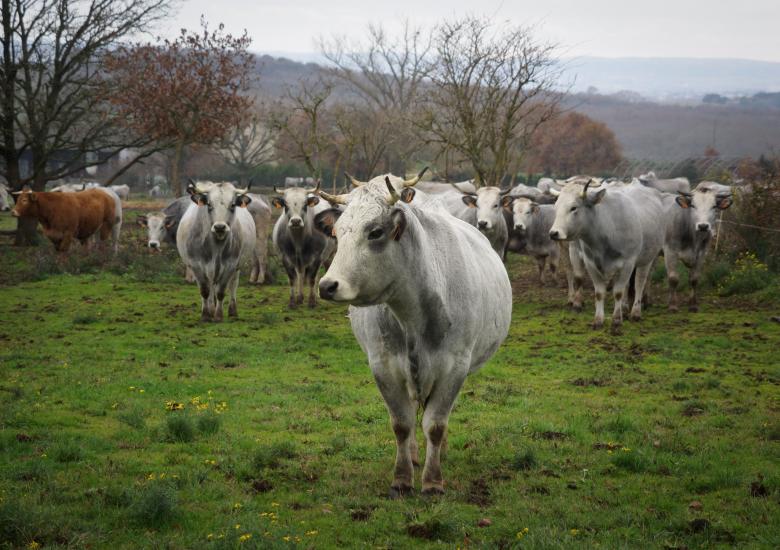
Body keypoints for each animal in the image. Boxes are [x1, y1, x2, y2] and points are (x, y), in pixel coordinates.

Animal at [176, 181, 256, 321]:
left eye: (232, 205)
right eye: (209, 204)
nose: (220, 227)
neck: (216, 246)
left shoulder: (230, 265)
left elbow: (221, 291)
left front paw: (218, 315)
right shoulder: (196, 265)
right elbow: (205, 291)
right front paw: (206, 315)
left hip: (237, 267)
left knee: (233, 285)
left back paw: (232, 311)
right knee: (210, 286)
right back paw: (211, 308)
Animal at [313, 171, 512, 497]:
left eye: (375, 232)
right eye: (337, 233)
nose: (327, 285)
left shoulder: (455, 367)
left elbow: (436, 424)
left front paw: (432, 481)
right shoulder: (383, 366)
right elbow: (402, 424)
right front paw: (402, 478)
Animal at [549, 180, 665, 332]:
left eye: (574, 208)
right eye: (556, 207)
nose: (553, 233)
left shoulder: (628, 263)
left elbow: (618, 292)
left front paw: (616, 321)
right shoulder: (589, 262)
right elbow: (598, 292)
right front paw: (598, 320)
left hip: (647, 258)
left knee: (640, 282)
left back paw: (636, 312)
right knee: (629, 285)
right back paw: (624, 308)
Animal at [662, 182, 733, 312]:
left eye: (714, 206)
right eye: (693, 206)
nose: (703, 226)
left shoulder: (701, 254)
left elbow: (694, 279)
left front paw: (693, 305)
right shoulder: (670, 251)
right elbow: (673, 278)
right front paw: (673, 306)